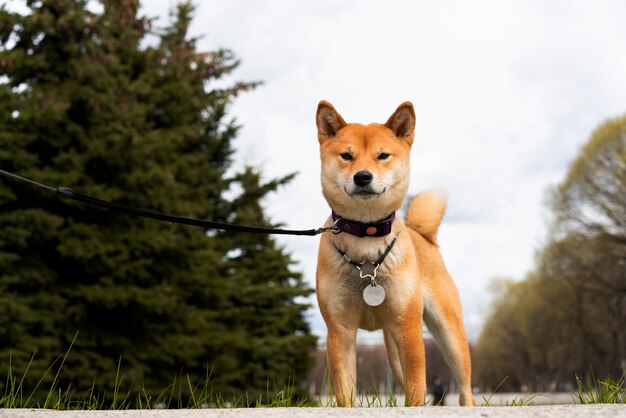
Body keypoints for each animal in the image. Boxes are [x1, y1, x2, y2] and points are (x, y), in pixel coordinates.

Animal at [312, 100, 472, 404]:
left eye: (383, 155)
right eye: (346, 156)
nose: (363, 176)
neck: (366, 241)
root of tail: (420, 233)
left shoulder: (407, 326)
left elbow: (416, 387)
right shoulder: (340, 330)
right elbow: (345, 392)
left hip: (448, 334)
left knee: (465, 386)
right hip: (392, 351)